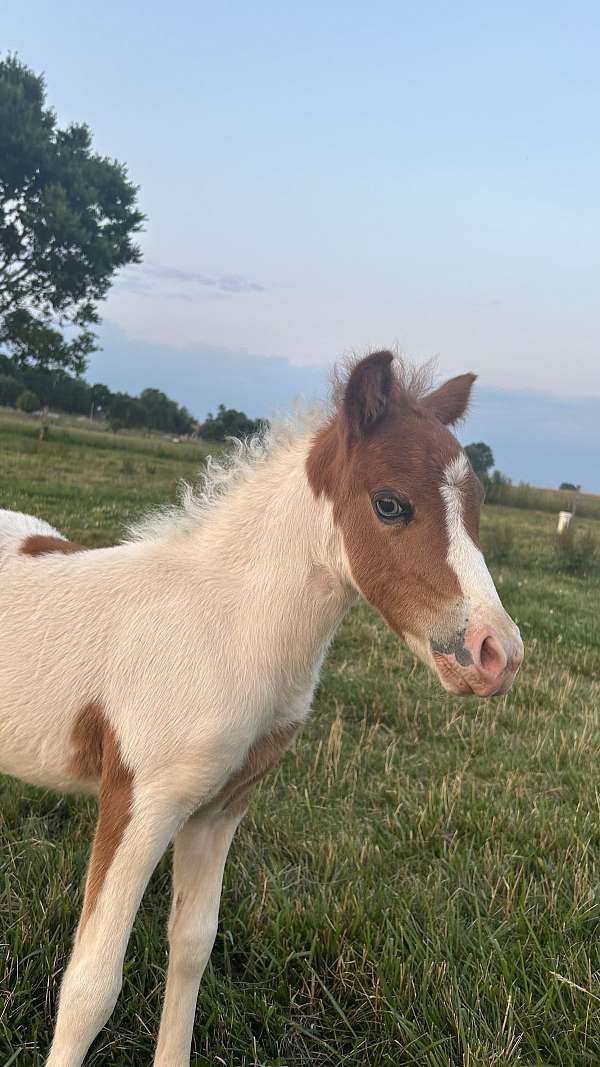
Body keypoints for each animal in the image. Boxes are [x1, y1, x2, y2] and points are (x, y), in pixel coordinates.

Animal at [0, 351, 523, 1066]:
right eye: (390, 504)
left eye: (476, 506)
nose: (497, 653)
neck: (222, 627)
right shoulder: (140, 800)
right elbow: (92, 986)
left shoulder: (219, 808)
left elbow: (192, 946)